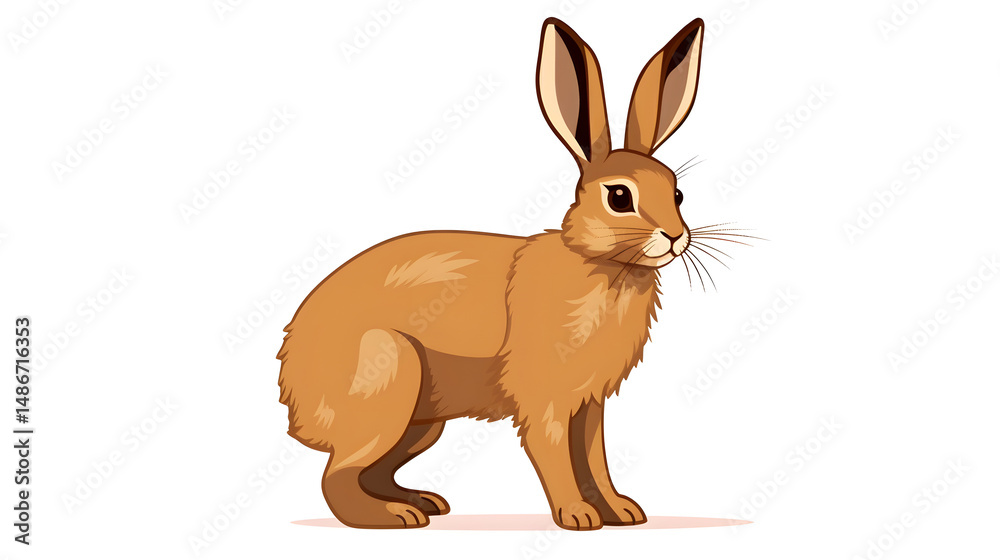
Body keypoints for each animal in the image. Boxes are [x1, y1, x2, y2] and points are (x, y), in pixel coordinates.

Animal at [278, 17, 713, 530]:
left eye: (678, 194)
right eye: (620, 197)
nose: (675, 236)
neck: (601, 266)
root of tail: (294, 399)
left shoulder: (590, 405)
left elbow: (594, 458)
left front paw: (622, 511)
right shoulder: (544, 401)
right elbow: (554, 454)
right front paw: (577, 517)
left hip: (422, 425)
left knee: (370, 471)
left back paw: (423, 502)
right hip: (389, 381)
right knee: (337, 477)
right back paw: (396, 517)